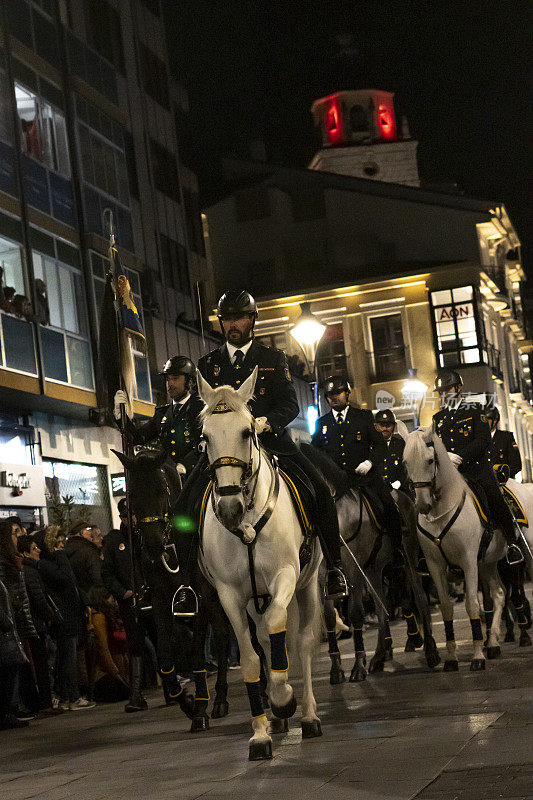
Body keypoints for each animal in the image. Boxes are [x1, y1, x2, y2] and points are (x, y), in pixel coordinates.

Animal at [194, 368, 320, 756]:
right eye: (204, 437)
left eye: (247, 432)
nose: (229, 509)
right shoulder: (230, 595)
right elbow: (251, 656)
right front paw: (261, 732)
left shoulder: (285, 575)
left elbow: (282, 627)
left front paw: (283, 698)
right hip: (254, 599)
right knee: (265, 639)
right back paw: (277, 722)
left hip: (309, 583)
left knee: (303, 641)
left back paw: (308, 715)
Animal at [404, 428, 508, 672]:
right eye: (405, 463)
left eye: (430, 460)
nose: (422, 505)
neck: (440, 514)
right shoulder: (435, 566)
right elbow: (446, 608)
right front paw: (451, 658)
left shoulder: (468, 562)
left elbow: (472, 605)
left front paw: (478, 656)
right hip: (487, 563)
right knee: (499, 593)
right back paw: (493, 643)